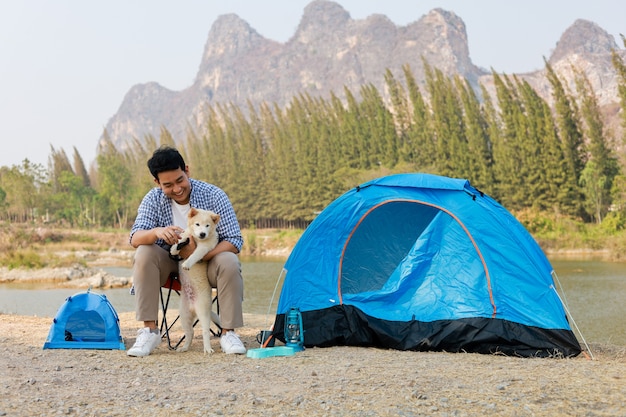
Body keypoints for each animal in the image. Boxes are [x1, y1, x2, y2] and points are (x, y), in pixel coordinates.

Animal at [169, 206, 221, 352]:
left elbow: (194, 255)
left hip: (203, 312)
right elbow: (179, 242)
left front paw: (187, 264)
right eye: (197, 224)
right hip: (184, 315)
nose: (202, 234)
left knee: (205, 331)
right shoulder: (185, 236)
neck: (197, 240)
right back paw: (184, 348)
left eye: (207, 225)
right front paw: (175, 249)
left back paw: (208, 349)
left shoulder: (204, 248)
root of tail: (193, 307)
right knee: (190, 332)